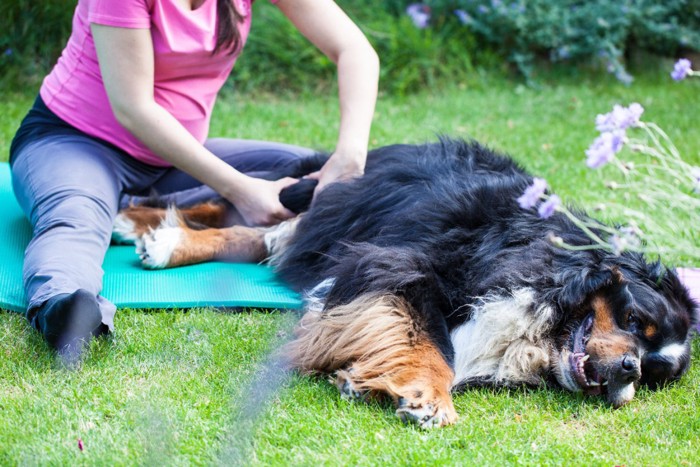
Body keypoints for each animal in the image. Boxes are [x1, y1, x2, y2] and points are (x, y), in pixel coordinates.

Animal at [113, 138, 696, 428]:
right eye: (634, 320)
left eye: (654, 373)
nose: (629, 370)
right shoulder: (399, 265)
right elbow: (428, 337)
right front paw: (428, 396)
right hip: (325, 195)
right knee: (245, 211)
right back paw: (147, 228)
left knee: (258, 234)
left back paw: (151, 232)